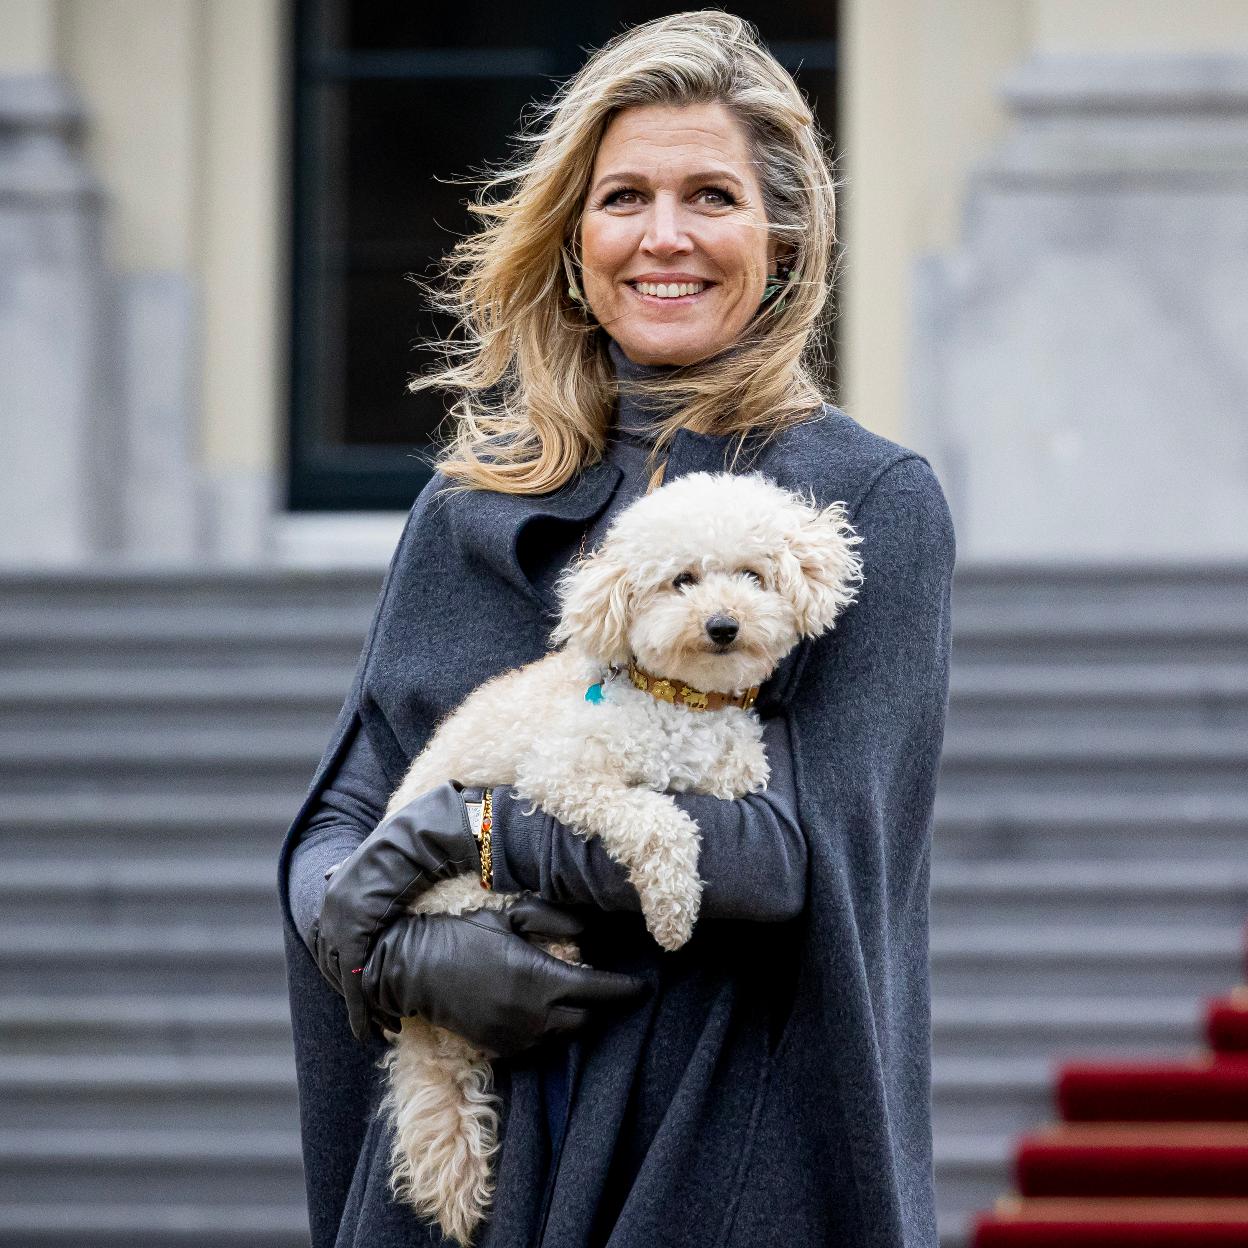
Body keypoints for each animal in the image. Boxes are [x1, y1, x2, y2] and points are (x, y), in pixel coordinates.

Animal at [374, 466, 858, 1238]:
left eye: (752, 576)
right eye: (682, 581)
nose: (723, 626)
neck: (680, 701)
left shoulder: (729, 771)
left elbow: (739, 787)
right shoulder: (565, 776)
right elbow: (659, 819)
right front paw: (673, 910)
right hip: (468, 897)